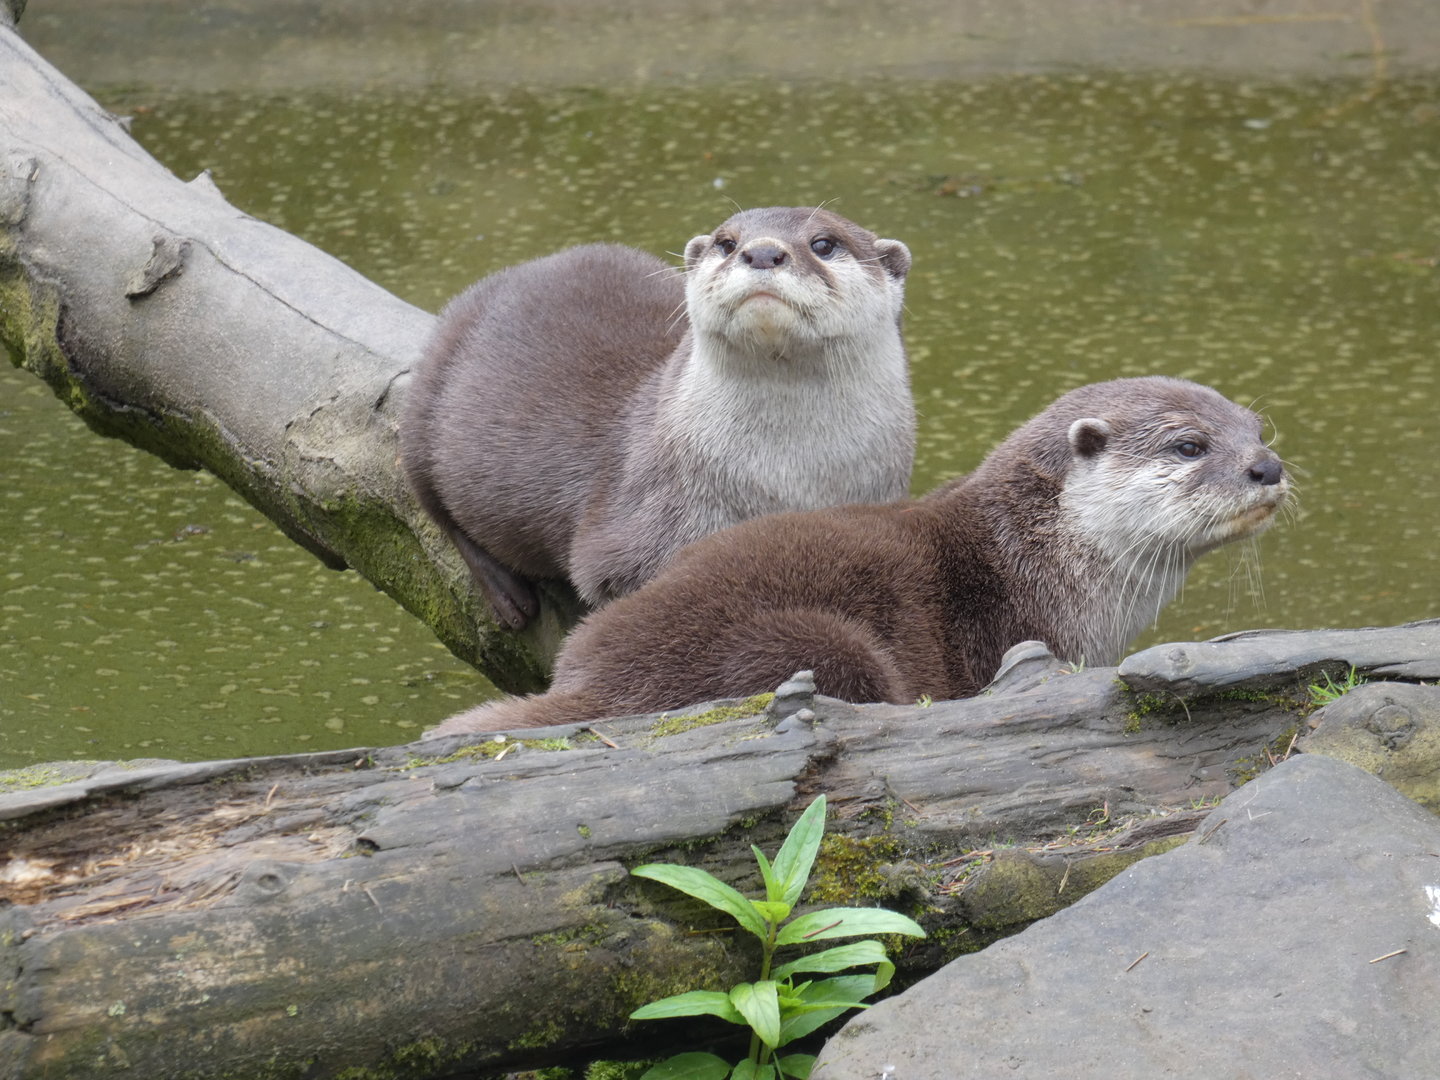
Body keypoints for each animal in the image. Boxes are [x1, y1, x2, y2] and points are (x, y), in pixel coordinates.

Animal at [401, 207, 915, 631]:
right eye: (727, 242)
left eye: (824, 243)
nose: (763, 252)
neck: (791, 478)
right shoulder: (642, 523)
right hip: (425, 408)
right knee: (433, 506)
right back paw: (507, 595)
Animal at [425, 376, 1290, 734]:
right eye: (1189, 445)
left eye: (1257, 429)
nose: (1269, 468)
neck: (1037, 556)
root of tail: (592, 681)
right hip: (813, 644)